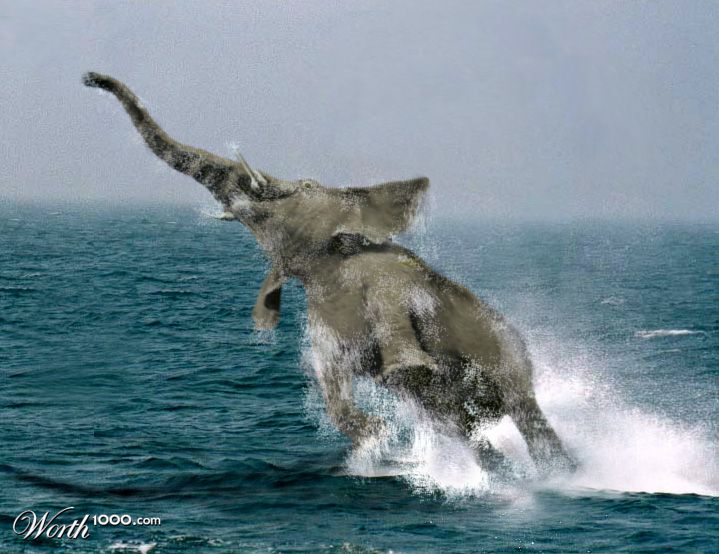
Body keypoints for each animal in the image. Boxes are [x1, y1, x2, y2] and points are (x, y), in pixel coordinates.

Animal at [82, 72, 575, 474]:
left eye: (304, 185)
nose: (90, 78)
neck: (333, 262)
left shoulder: (387, 285)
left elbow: (402, 358)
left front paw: (396, 394)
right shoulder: (323, 318)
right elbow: (331, 376)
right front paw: (376, 434)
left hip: (511, 355)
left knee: (525, 411)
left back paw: (560, 474)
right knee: (469, 429)